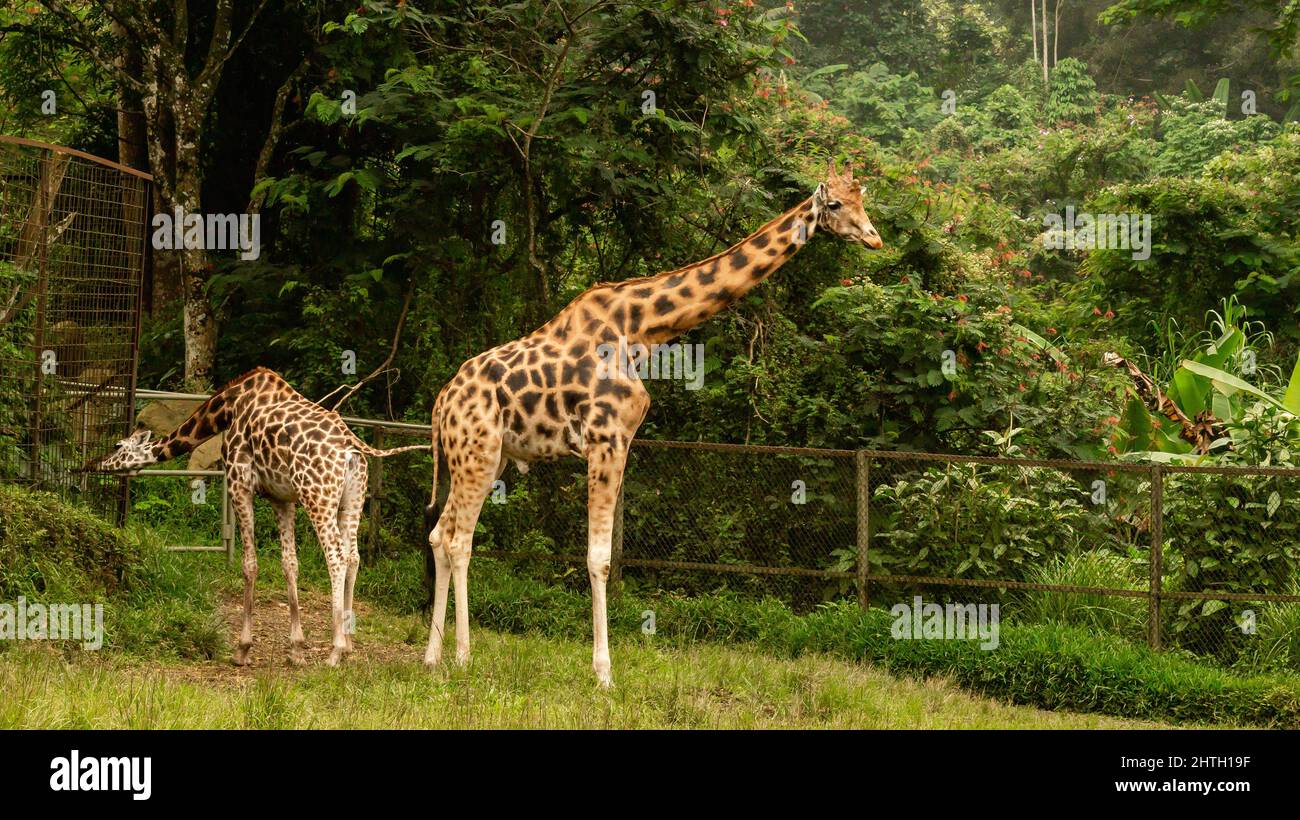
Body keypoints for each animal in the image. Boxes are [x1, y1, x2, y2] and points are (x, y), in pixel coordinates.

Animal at [87, 369, 431, 670]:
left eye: (117, 446)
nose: (96, 464)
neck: (227, 408)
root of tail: (352, 447)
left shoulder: (238, 482)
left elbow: (249, 563)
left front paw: (242, 650)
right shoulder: (282, 498)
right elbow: (290, 564)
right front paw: (296, 650)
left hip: (317, 496)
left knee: (336, 555)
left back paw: (335, 651)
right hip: (353, 499)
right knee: (355, 555)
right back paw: (347, 644)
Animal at [426, 160, 883, 686]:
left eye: (864, 198)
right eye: (836, 204)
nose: (874, 238)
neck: (642, 328)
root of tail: (441, 404)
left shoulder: (616, 442)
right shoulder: (607, 439)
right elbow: (599, 559)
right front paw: (604, 674)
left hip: (487, 456)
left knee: (439, 534)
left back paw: (432, 656)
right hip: (477, 452)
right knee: (459, 540)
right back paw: (464, 656)